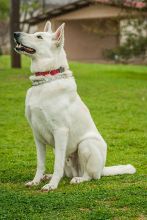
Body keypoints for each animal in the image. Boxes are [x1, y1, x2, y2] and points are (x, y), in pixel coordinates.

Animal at [13, 21, 136, 192]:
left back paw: (78, 179)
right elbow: (40, 163)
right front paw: (36, 181)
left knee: (90, 176)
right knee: (66, 173)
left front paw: (52, 185)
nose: (15, 33)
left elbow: (57, 164)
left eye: (39, 37)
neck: (46, 80)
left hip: (85, 145)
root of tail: (102, 169)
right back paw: (48, 176)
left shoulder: (60, 131)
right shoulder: (37, 135)